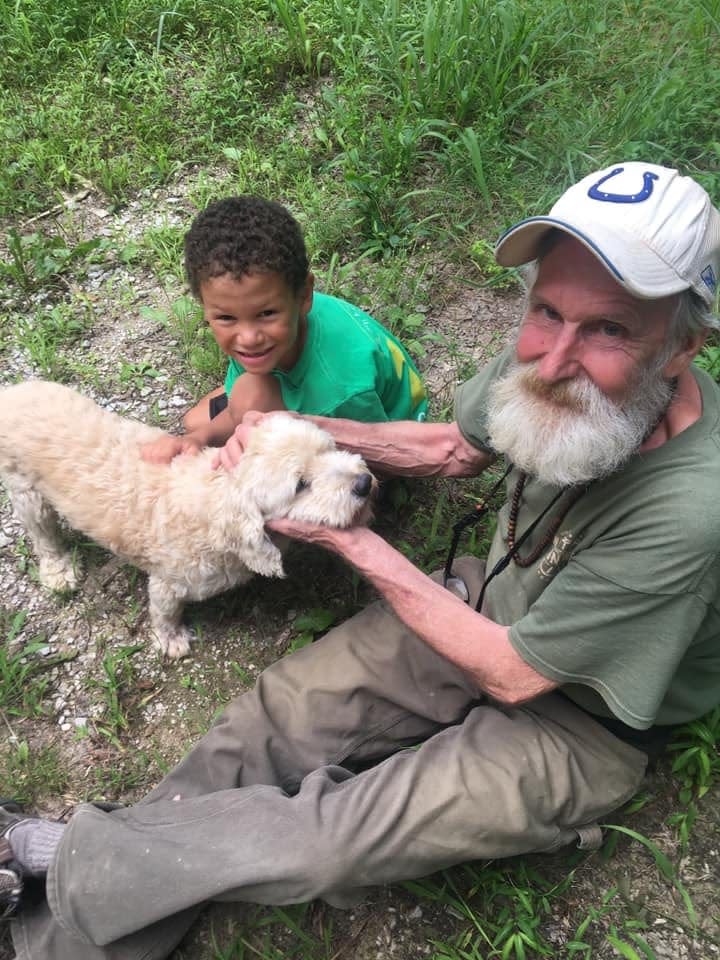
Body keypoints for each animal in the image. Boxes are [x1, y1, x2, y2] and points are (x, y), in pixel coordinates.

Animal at [0, 378, 374, 656]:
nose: (364, 483)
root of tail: (12, 392)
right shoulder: (169, 581)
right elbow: (165, 611)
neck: (217, 500)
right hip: (26, 492)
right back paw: (58, 571)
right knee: (43, 535)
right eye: (301, 485)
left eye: (329, 448)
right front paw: (171, 639)